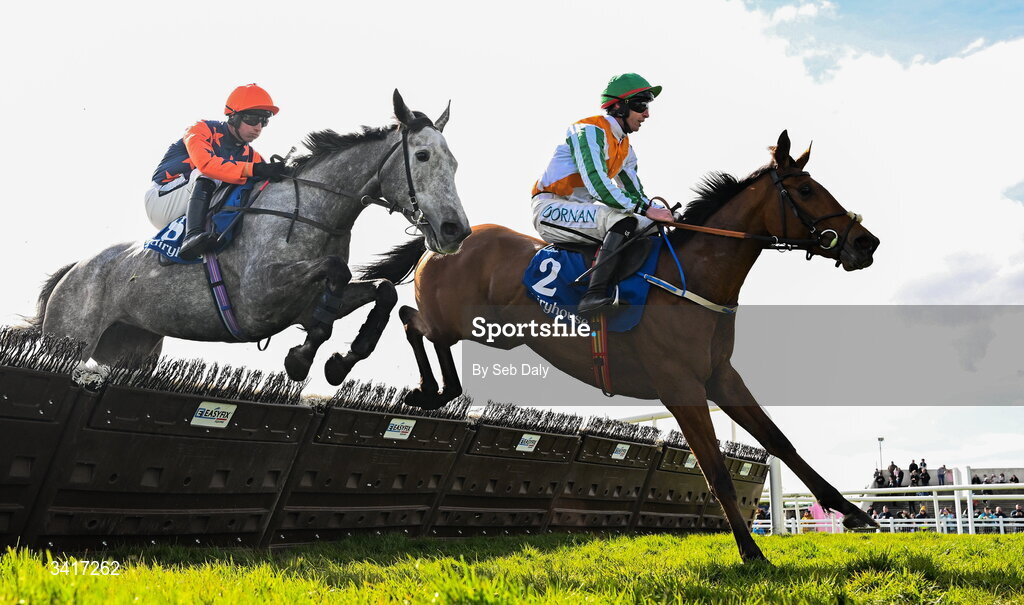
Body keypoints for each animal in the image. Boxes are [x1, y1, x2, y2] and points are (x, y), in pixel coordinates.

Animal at [29, 90, 470, 385]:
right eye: (423, 156)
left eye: (455, 163)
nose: (456, 230)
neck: (312, 211)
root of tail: (76, 268)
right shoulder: (260, 296)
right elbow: (337, 271)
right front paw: (302, 357)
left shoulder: (301, 304)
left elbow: (382, 290)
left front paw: (339, 361)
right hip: (70, 340)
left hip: (132, 349)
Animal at [360, 131, 881, 562]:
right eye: (807, 191)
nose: (866, 242)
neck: (692, 278)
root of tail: (447, 238)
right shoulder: (680, 387)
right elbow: (716, 470)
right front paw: (751, 552)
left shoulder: (721, 376)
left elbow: (780, 441)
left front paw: (854, 512)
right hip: (463, 321)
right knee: (411, 320)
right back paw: (427, 387)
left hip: (489, 331)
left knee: (419, 327)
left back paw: (438, 389)